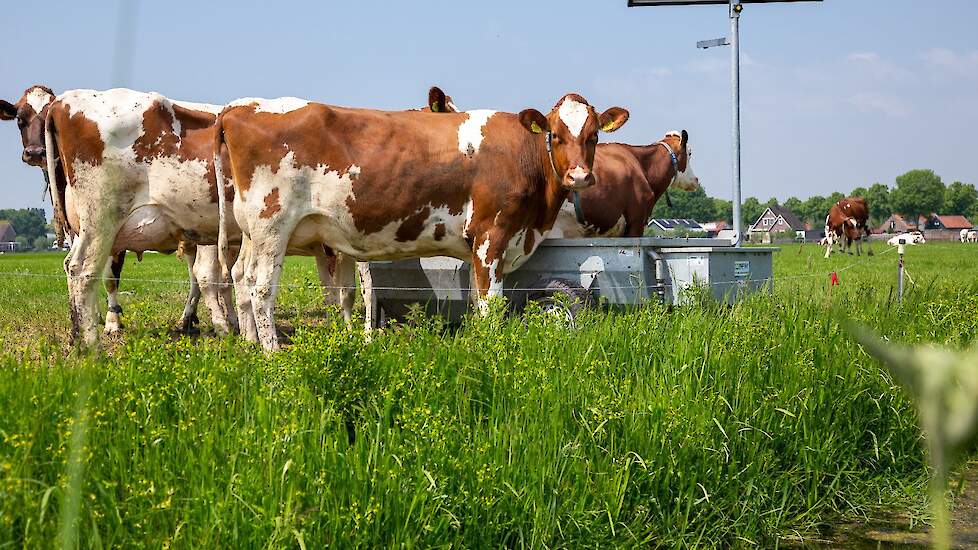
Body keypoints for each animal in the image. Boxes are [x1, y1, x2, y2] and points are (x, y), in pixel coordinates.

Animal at [214, 93, 629, 351]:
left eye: (593, 136)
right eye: (555, 135)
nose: (580, 176)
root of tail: (239, 109)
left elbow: (476, 302)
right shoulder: (491, 236)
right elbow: (489, 305)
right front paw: (494, 351)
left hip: (252, 233)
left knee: (241, 278)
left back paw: (250, 345)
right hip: (273, 227)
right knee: (262, 289)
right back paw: (273, 354)